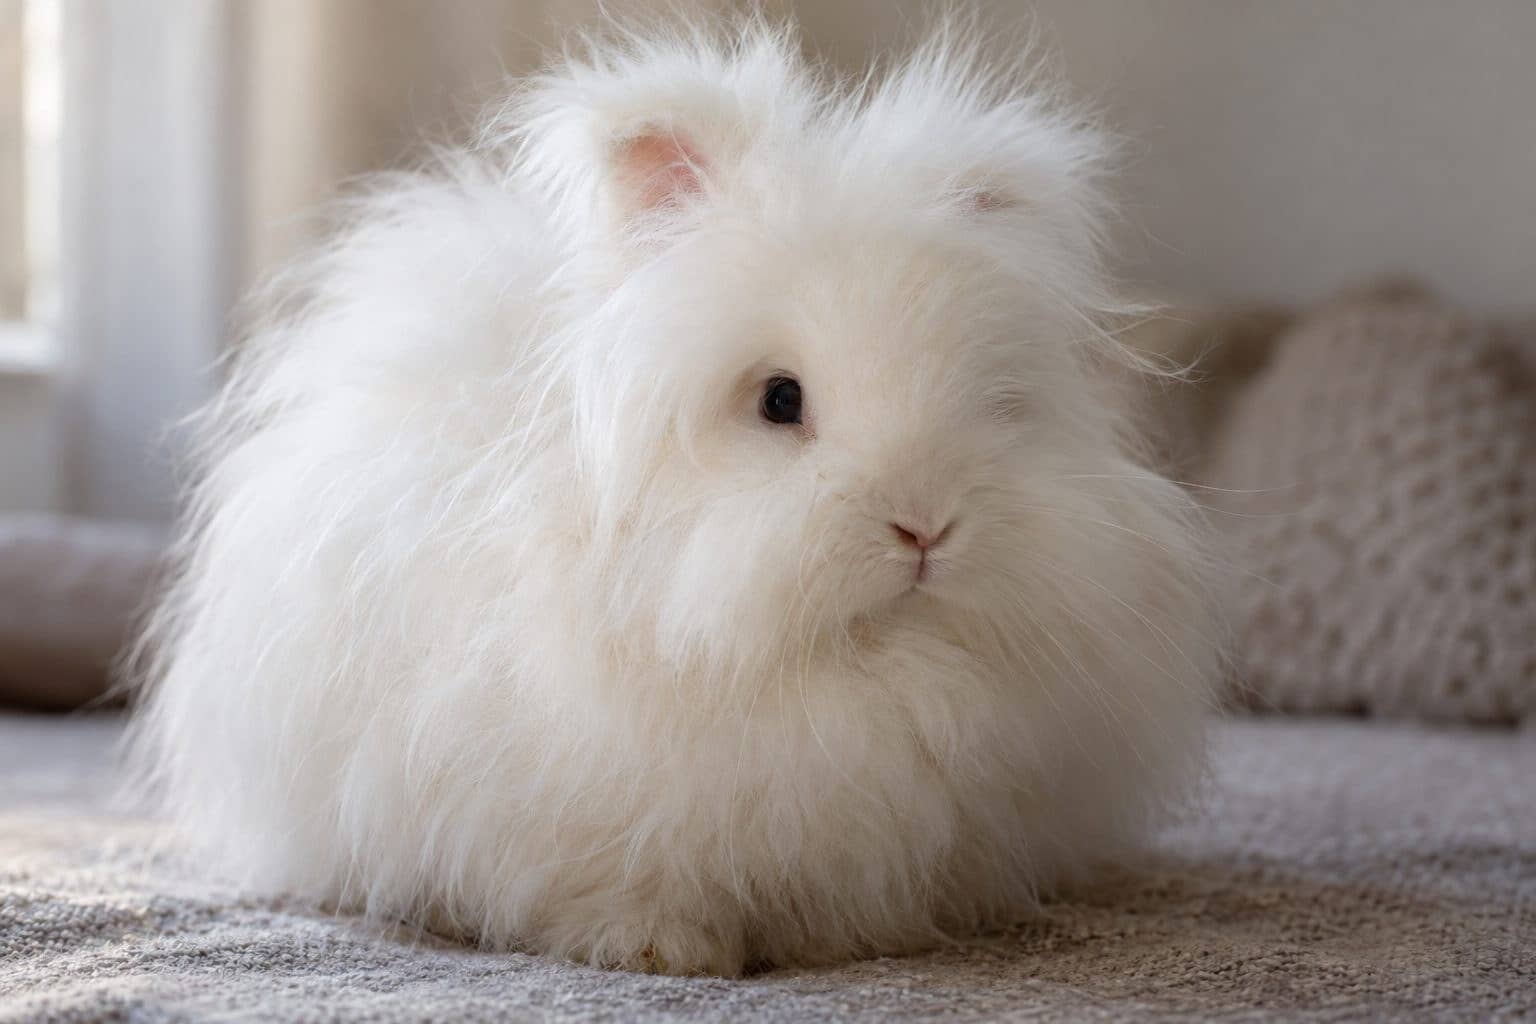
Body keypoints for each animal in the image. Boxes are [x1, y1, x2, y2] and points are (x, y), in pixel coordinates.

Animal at [131, 18, 1220, 977]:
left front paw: (836, 946)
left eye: (991, 402)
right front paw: (663, 953)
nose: (924, 526)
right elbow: (616, 885)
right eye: (780, 399)